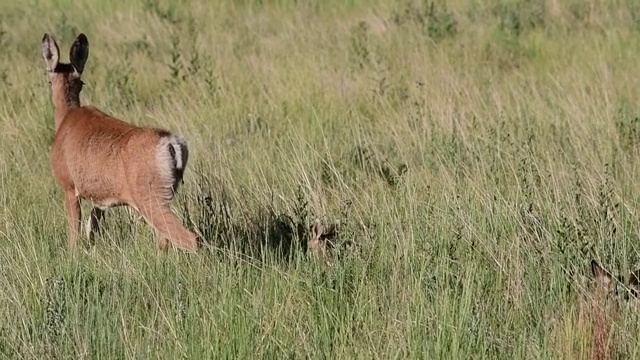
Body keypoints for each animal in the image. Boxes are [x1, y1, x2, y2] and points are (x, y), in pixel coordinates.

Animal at [41, 33, 199, 253]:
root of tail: (171, 143)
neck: (66, 118)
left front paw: (73, 254)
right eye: (81, 83)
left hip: (149, 196)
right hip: (165, 194)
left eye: (49, 81)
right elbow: (92, 225)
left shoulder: (69, 186)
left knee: (189, 239)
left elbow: (75, 232)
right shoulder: (100, 199)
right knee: (165, 238)